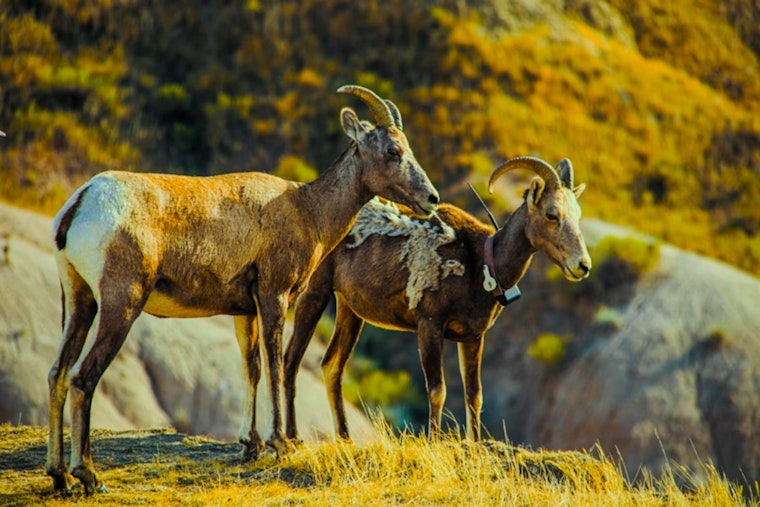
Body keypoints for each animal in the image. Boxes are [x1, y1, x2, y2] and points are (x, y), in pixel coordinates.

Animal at [45, 85, 439, 494]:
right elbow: (275, 364)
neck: (307, 210)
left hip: (78, 301)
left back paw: (59, 475)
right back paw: (89, 476)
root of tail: (81, 202)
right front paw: (281, 443)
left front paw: (251, 445)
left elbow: (252, 368)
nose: (431, 199)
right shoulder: (273, 296)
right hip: (120, 306)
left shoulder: (245, 311)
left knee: (57, 373)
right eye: (392, 151)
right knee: (82, 377)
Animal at [283, 156, 590, 442]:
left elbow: (474, 395)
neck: (481, 265)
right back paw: (292, 437)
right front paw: (434, 441)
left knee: (332, 365)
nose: (583, 265)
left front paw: (474, 445)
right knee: (291, 359)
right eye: (552, 214)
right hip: (315, 293)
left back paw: (345, 439)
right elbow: (437, 391)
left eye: (577, 215)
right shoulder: (430, 327)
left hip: (350, 311)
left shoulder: (472, 338)